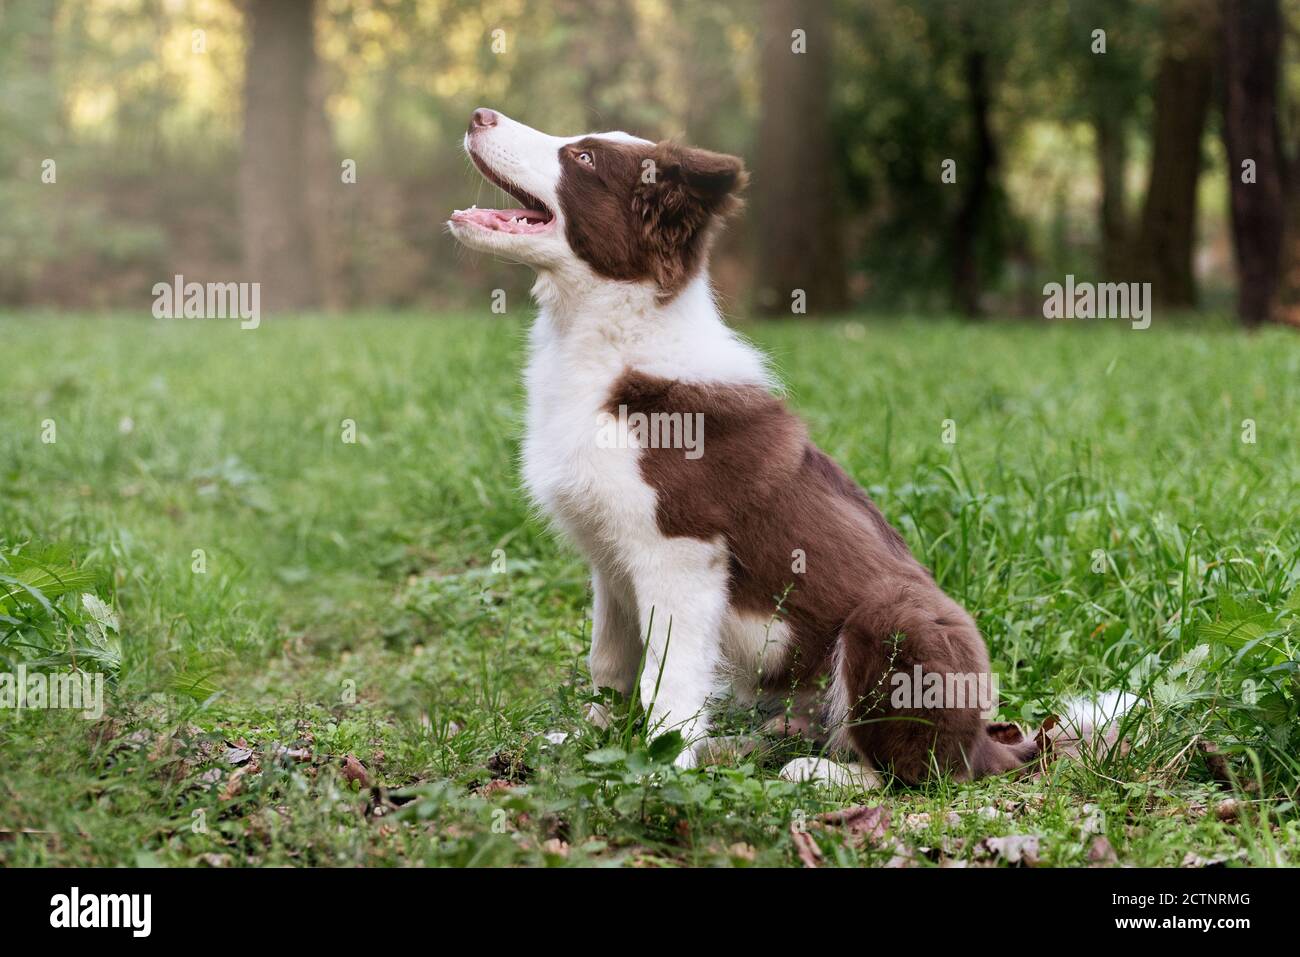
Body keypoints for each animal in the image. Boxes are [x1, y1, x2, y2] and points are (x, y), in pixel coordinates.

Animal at [447, 110, 1034, 785]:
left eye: (584, 159)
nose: (479, 114)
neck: (607, 335)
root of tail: (989, 743)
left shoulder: (681, 555)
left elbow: (668, 681)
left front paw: (657, 771)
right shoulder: (610, 561)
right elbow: (610, 665)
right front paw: (592, 744)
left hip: (894, 619)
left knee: (920, 771)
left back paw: (821, 773)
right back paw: (743, 746)